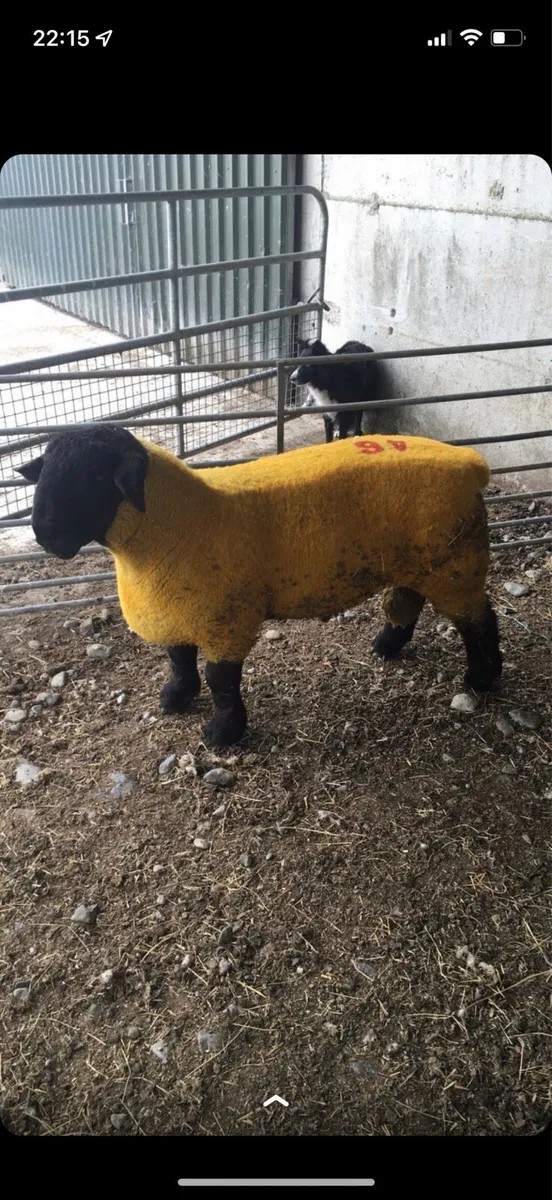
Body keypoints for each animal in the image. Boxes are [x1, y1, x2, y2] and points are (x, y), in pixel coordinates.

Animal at [19, 424, 503, 747]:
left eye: (97, 476)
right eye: (46, 472)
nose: (44, 534)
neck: (178, 521)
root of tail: (470, 464)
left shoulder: (226, 622)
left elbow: (220, 681)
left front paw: (222, 733)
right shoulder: (181, 609)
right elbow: (178, 659)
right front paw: (175, 698)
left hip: (456, 566)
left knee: (480, 621)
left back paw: (482, 678)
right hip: (419, 562)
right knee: (406, 600)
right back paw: (387, 644)